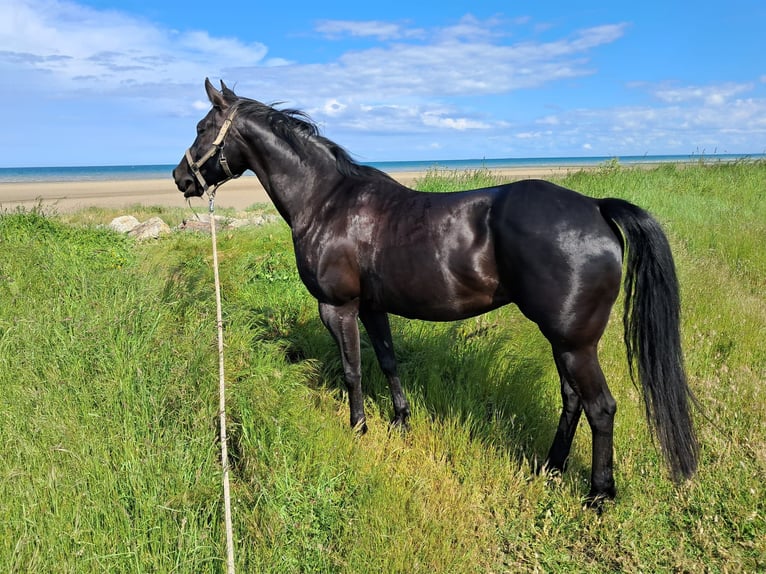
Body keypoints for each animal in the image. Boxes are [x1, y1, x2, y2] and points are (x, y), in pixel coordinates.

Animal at [176, 80, 704, 504]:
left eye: (202, 126)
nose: (181, 178)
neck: (327, 201)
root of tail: (595, 207)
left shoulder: (338, 307)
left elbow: (352, 370)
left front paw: (358, 428)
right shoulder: (372, 307)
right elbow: (388, 361)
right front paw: (400, 422)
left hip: (575, 343)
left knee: (600, 408)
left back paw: (599, 495)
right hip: (565, 341)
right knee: (572, 400)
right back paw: (550, 467)